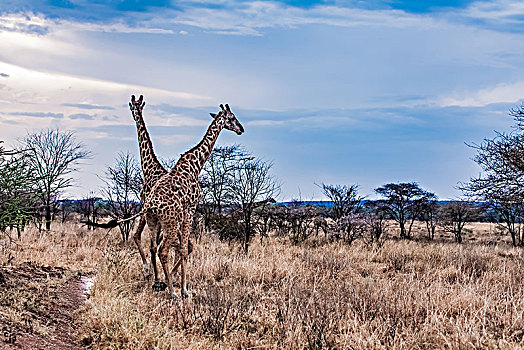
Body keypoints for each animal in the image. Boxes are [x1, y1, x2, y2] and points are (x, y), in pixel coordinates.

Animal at [141, 104, 244, 298]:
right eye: (232, 117)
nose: (241, 129)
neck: (196, 165)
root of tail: (151, 206)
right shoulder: (190, 209)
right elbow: (183, 249)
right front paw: (185, 290)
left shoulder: (185, 213)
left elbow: (183, 248)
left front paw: (181, 287)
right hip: (171, 223)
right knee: (163, 250)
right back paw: (172, 293)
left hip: (152, 222)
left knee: (153, 247)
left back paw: (159, 283)